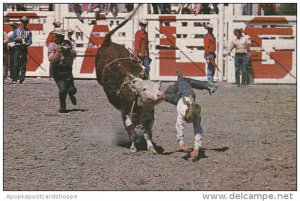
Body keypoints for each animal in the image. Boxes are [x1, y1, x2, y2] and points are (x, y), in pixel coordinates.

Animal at [95, 5, 164, 154]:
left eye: (157, 87)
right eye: (144, 89)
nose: (160, 94)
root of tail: (108, 43)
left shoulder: (150, 117)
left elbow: (147, 133)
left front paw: (152, 148)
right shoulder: (125, 113)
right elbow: (131, 132)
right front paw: (133, 147)